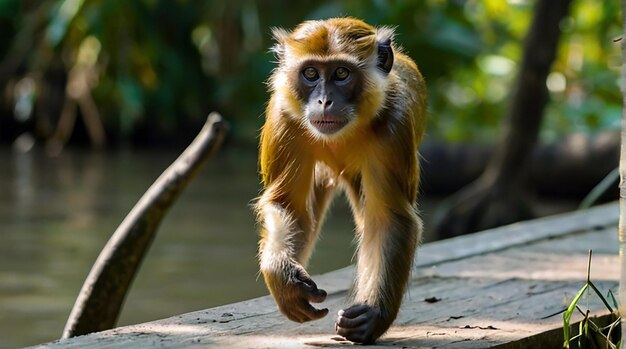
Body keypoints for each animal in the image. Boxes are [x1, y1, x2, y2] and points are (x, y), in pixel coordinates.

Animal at [256, 17, 426, 342]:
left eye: (342, 73)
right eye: (311, 73)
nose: (324, 101)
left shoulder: (394, 124)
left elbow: (390, 218)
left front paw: (375, 315)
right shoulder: (283, 116)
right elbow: (287, 205)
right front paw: (284, 279)